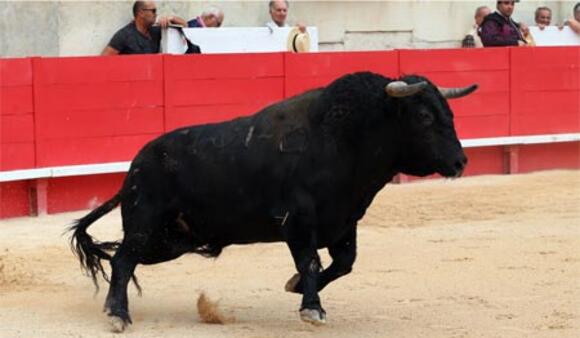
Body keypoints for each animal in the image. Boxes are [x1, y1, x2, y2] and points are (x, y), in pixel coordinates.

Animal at [69, 70, 476, 332]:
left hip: (170, 241)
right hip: (146, 223)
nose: (460, 162)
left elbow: (343, 264)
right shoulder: (297, 222)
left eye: (450, 113)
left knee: (124, 259)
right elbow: (310, 262)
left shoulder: (344, 222)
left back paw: (116, 308)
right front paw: (311, 308)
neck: (343, 138)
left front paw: (296, 287)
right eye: (424, 116)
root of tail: (135, 167)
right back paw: (118, 315)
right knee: (123, 260)